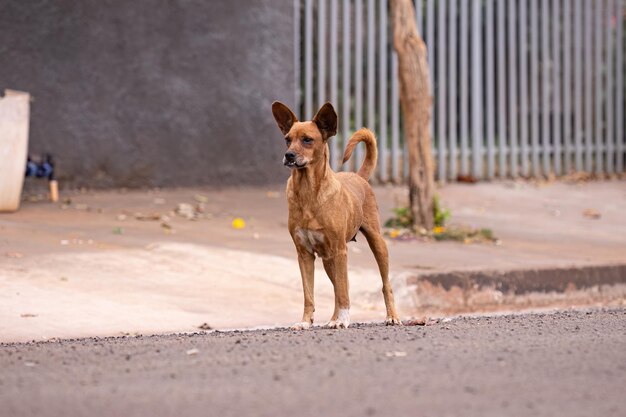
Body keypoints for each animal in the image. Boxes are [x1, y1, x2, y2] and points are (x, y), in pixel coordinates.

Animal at [270, 100, 400, 328]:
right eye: (287, 140)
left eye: (307, 139)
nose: (289, 155)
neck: (308, 191)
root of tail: (359, 176)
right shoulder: (304, 254)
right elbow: (309, 294)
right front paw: (306, 322)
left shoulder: (340, 250)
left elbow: (343, 292)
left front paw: (343, 320)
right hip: (328, 259)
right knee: (337, 288)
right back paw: (333, 318)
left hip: (376, 244)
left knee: (383, 285)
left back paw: (391, 316)